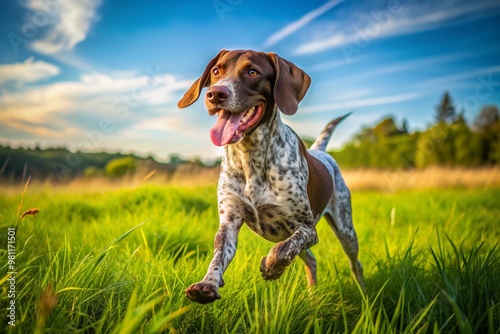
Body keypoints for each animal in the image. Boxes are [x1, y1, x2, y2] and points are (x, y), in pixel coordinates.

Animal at [178, 49, 366, 302]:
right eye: (216, 71)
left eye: (252, 72)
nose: (215, 94)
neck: (250, 157)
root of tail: (320, 151)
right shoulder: (229, 223)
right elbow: (217, 256)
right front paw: (207, 284)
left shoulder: (306, 228)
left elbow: (282, 250)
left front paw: (270, 267)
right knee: (311, 260)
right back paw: (312, 297)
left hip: (345, 230)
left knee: (355, 264)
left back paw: (365, 296)